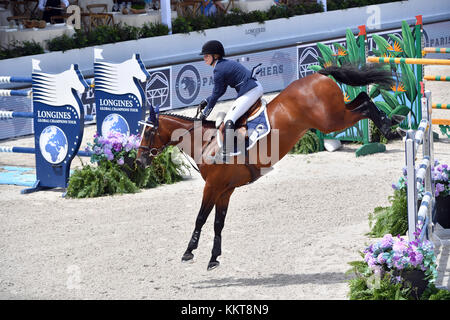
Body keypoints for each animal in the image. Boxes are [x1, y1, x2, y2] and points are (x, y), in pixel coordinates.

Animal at [137, 63, 400, 272]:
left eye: (148, 132)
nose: (139, 161)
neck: (205, 141)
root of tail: (319, 74)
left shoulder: (212, 186)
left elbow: (200, 218)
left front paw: (188, 252)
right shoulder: (225, 189)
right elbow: (218, 223)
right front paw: (213, 258)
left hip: (331, 120)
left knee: (364, 105)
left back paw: (388, 126)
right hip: (335, 115)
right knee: (362, 99)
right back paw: (391, 122)